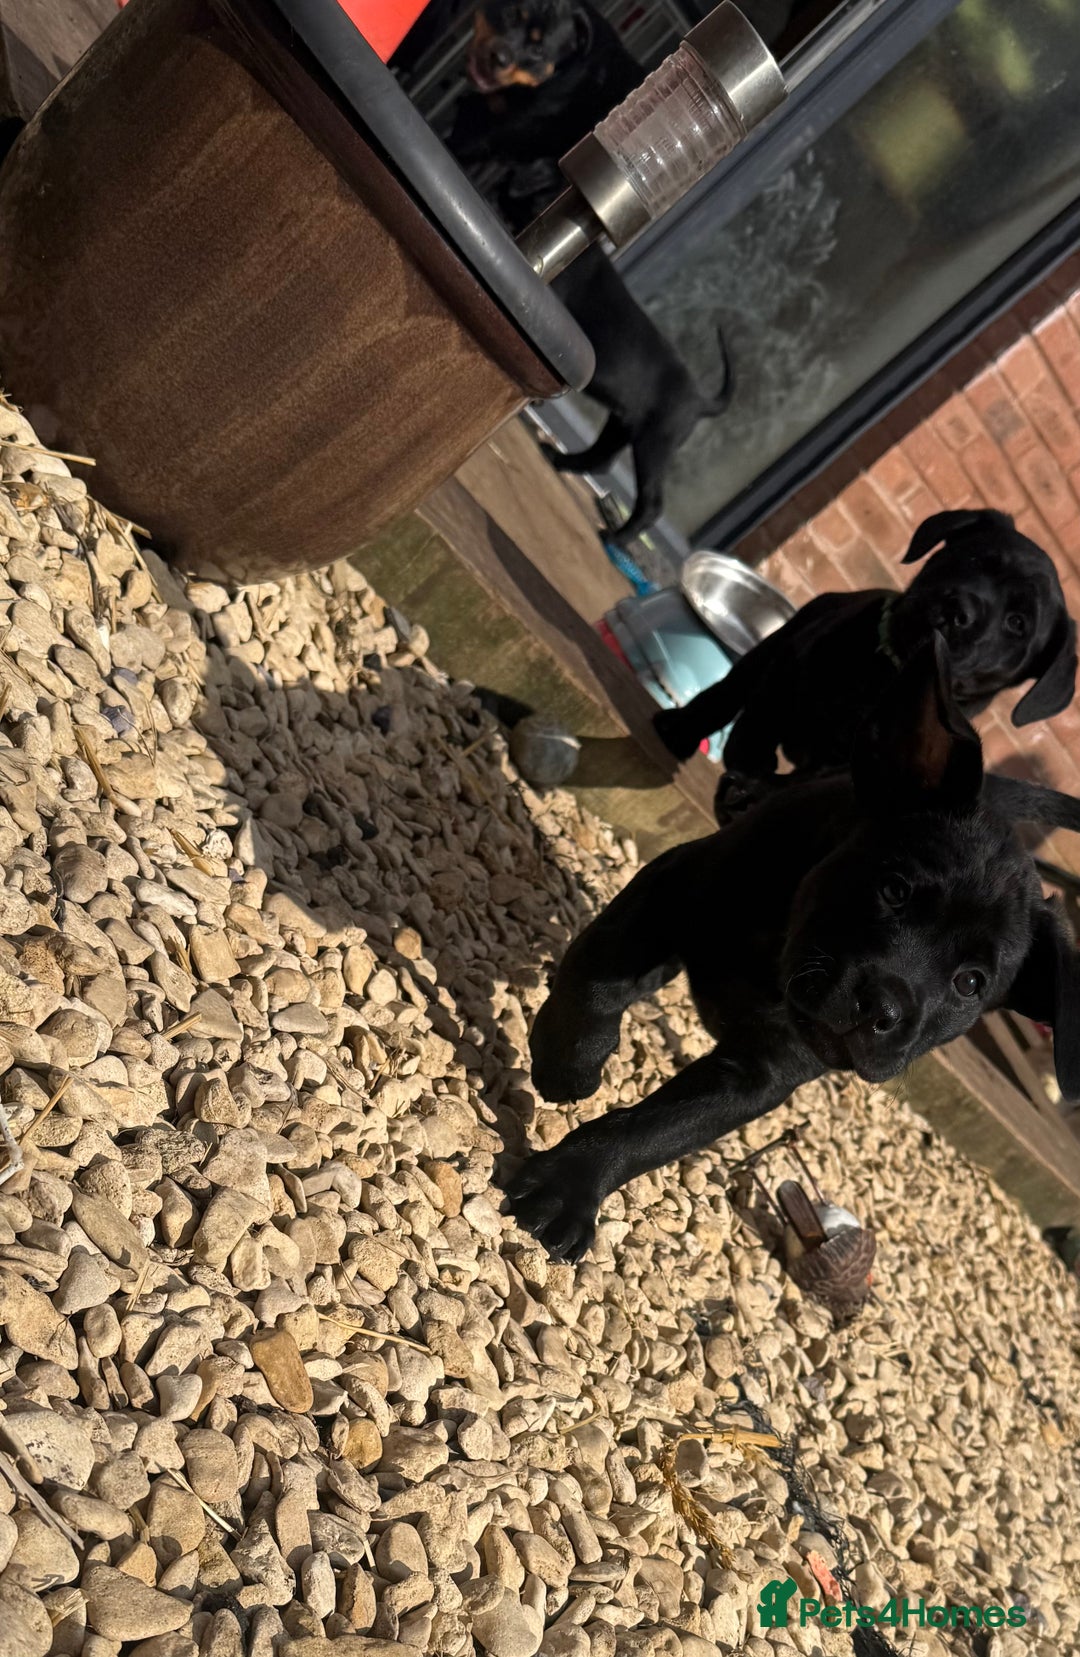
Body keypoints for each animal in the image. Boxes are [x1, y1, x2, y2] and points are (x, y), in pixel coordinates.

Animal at [506, 636, 1080, 1262]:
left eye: (971, 983)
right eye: (894, 889)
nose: (880, 1010)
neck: (775, 958)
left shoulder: (762, 1074)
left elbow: (658, 1130)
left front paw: (570, 1186)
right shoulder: (674, 883)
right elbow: (599, 977)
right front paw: (570, 1062)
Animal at [654, 510, 1077, 788]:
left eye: (1017, 624)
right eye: (973, 558)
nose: (960, 610)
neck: (888, 671)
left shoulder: (841, 764)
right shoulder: (787, 667)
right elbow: (758, 720)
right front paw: (747, 763)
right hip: (776, 644)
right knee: (725, 695)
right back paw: (678, 732)